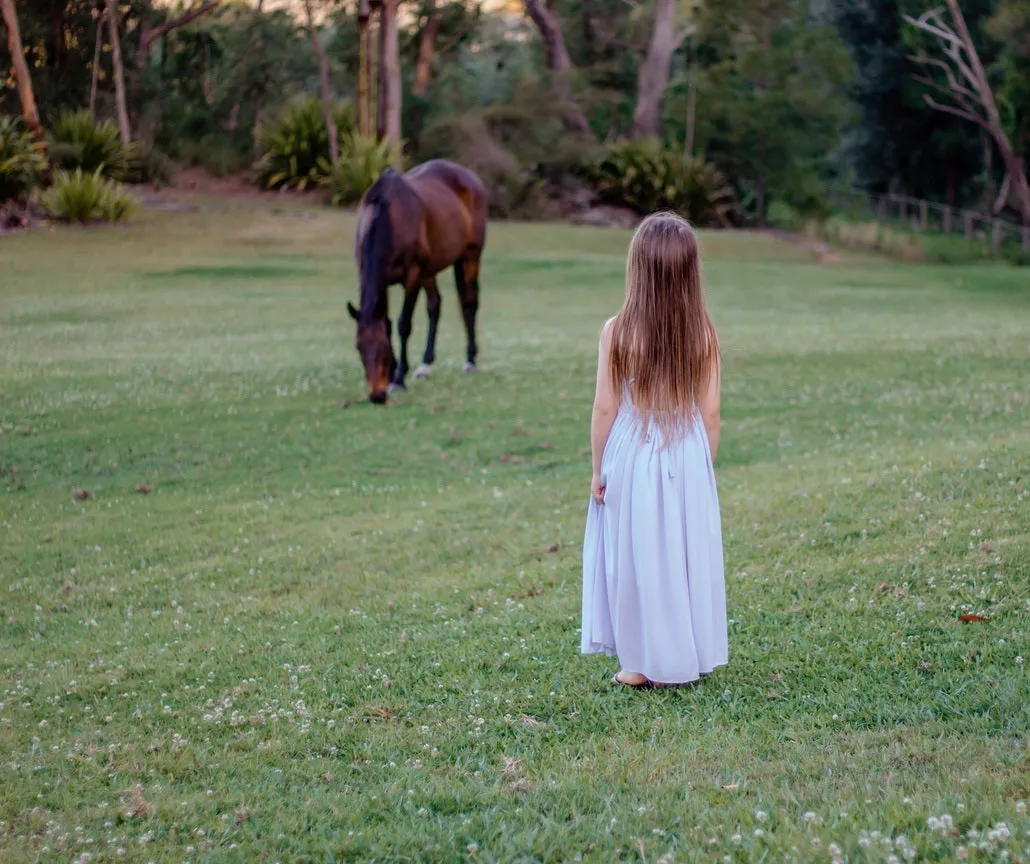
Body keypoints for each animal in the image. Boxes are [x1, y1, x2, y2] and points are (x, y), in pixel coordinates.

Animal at [348, 160, 488, 403]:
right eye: (359, 349)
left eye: (383, 349)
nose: (377, 396)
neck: (389, 214)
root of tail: (470, 177)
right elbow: (387, 322)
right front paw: (396, 371)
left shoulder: (412, 275)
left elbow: (404, 325)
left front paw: (398, 379)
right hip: (429, 270)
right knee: (435, 306)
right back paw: (425, 365)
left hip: (470, 256)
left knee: (469, 303)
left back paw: (470, 360)